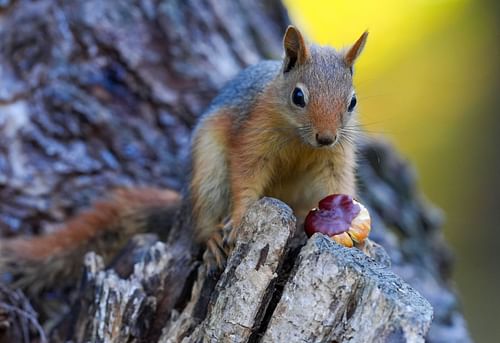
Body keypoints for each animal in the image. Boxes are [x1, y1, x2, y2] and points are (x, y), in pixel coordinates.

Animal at [0, 26, 368, 296]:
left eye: (352, 102)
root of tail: (183, 203)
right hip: (208, 177)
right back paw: (213, 241)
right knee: (202, 222)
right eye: (298, 96)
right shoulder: (251, 135)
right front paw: (240, 217)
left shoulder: (335, 157)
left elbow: (337, 185)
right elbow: (246, 175)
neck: (300, 141)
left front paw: (358, 236)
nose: (326, 137)